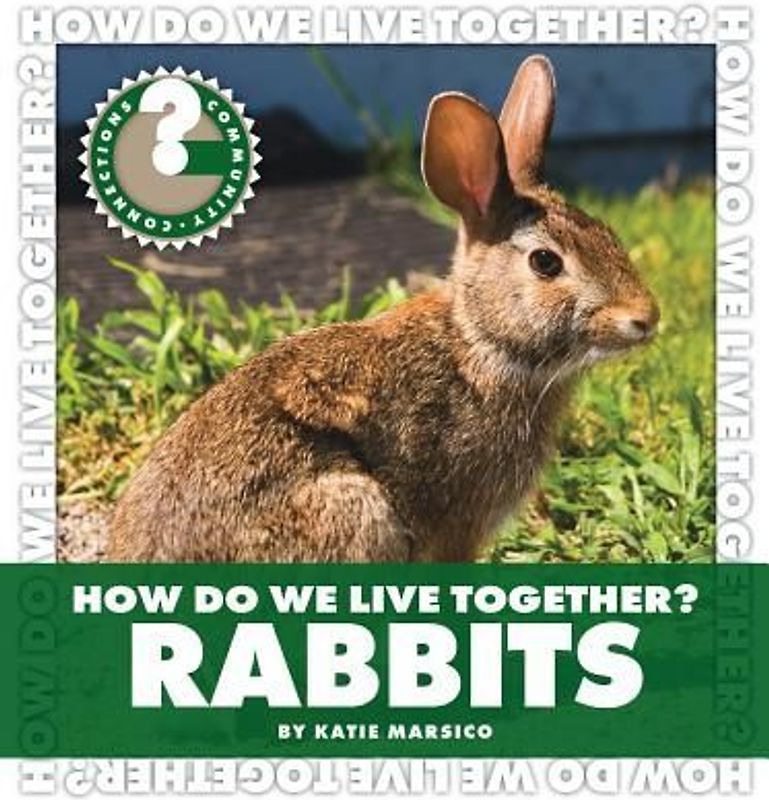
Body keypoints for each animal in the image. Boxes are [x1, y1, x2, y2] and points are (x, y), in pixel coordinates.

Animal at [107, 55, 659, 563]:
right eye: (545, 262)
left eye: (607, 233)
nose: (645, 318)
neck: (478, 341)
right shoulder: (459, 523)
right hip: (355, 511)